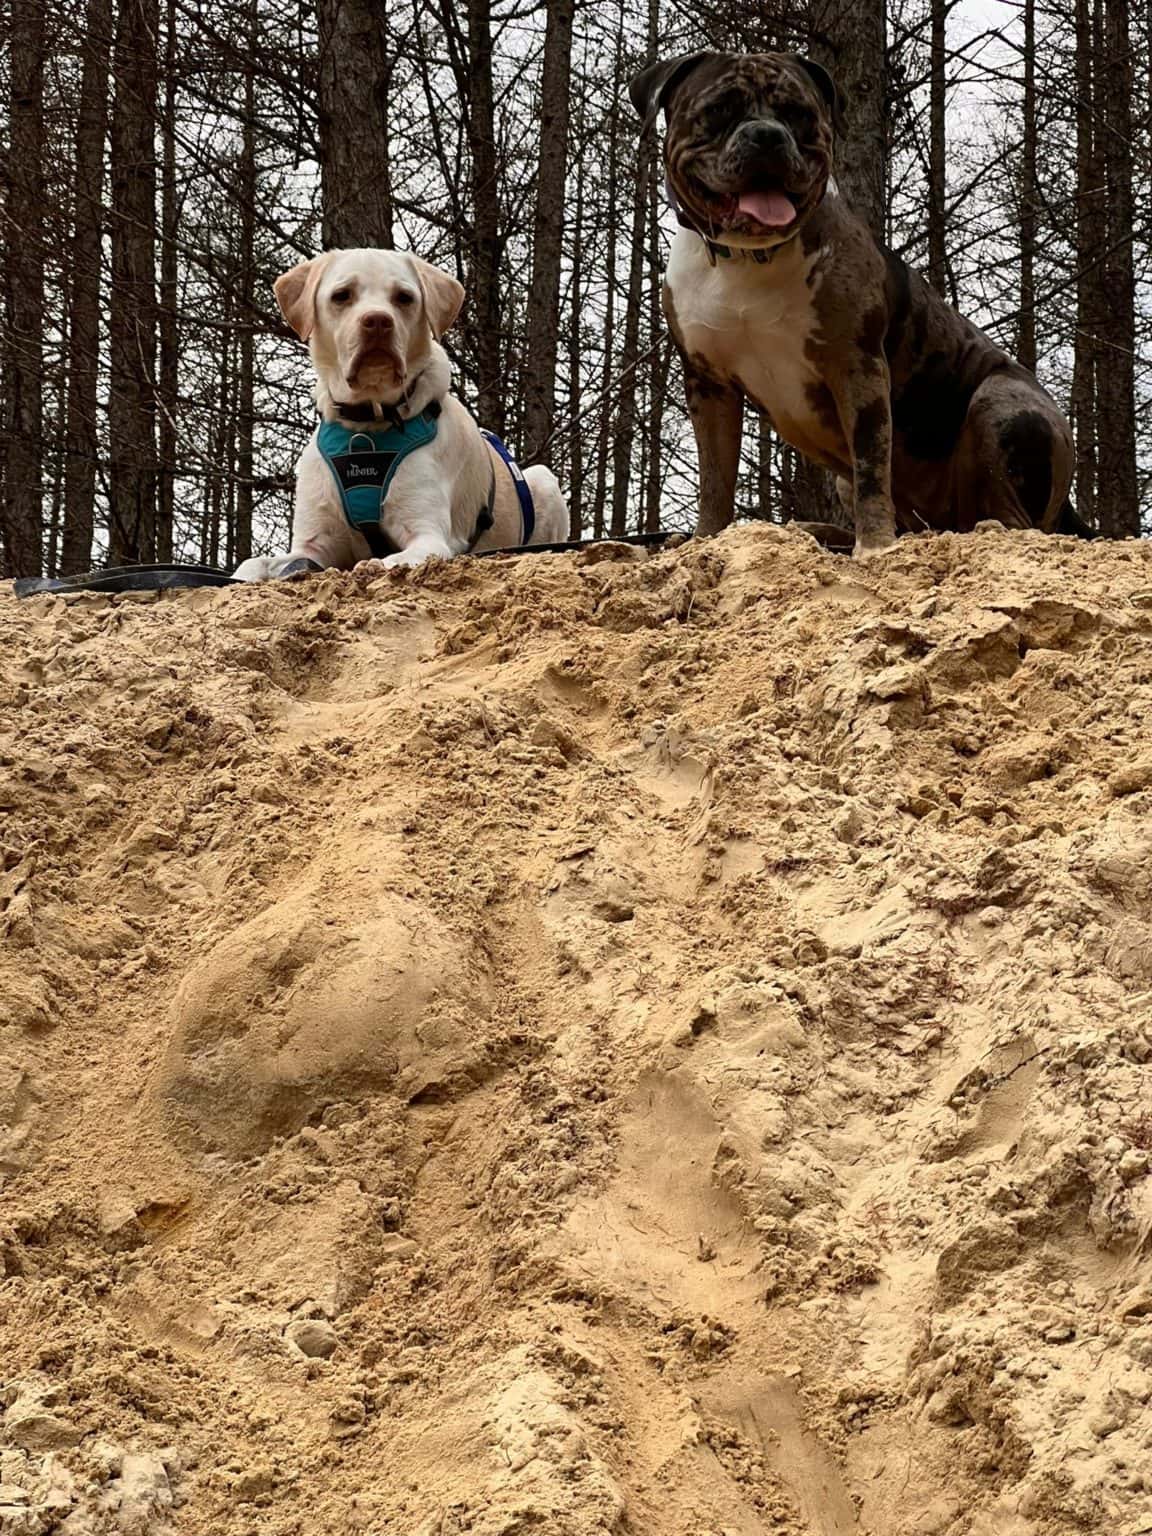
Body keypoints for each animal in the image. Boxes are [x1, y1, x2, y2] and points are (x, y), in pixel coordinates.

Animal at [233, 248, 567, 581]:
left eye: (404, 297)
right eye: (341, 295)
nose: (378, 321)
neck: (367, 423)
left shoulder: (427, 535)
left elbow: (391, 559)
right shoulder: (312, 544)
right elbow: (251, 565)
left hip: (542, 479)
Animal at [630, 52, 1085, 558]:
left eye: (799, 114)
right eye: (720, 109)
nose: (767, 134)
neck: (747, 258)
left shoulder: (858, 368)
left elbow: (871, 468)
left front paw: (875, 547)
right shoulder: (709, 384)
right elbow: (715, 477)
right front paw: (707, 538)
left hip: (1002, 405)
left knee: (1010, 518)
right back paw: (817, 532)